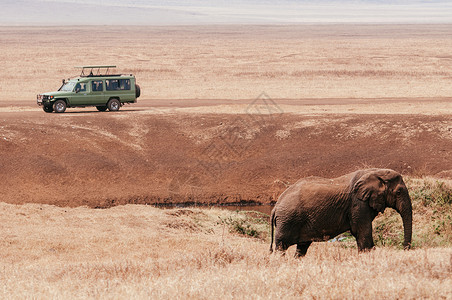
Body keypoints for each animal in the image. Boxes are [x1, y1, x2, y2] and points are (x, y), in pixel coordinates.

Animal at [268, 169, 414, 255]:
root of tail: (275, 207)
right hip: (287, 220)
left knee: (302, 248)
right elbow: (362, 232)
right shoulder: (358, 203)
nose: (404, 249)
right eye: (399, 192)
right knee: (281, 246)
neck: (376, 172)